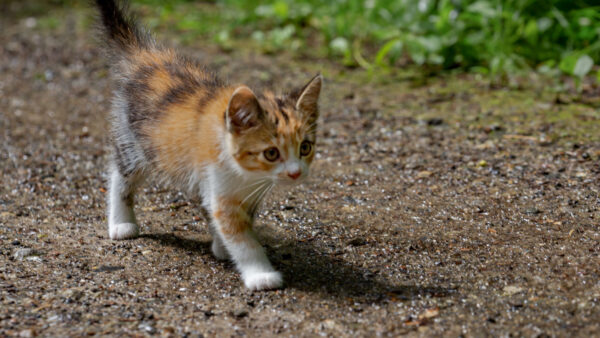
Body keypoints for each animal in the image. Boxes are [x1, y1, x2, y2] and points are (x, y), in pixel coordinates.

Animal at [97, 0, 324, 290]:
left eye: (305, 148)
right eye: (272, 153)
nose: (295, 173)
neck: (247, 173)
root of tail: (147, 56)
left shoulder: (237, 191)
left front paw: (221, 247)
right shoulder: (219, 182)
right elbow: (240, 236)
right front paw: (260, 274)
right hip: (136, 140)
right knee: (121, 174)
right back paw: (121, 222)